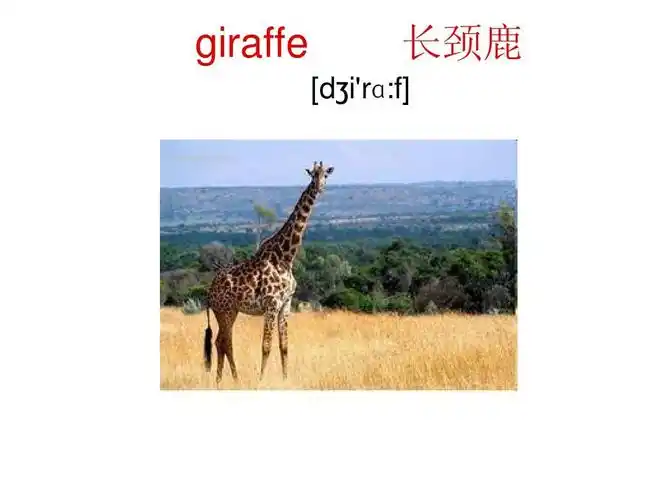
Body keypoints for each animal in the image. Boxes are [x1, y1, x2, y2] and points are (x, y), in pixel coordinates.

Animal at [203, 161, 335, 382]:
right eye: (312, 175)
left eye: (326, 174)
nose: (319, 187)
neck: (286, 258)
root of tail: (209, 292)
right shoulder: (271, 304)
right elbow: (266, 346)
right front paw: (261, 380)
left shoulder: (285, 304)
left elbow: (284, 346)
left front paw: (285, 378)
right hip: (225, 311)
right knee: (225, 342)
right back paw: (234, 379)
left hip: (231, 311)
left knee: (220, 342)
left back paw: (222, 380)